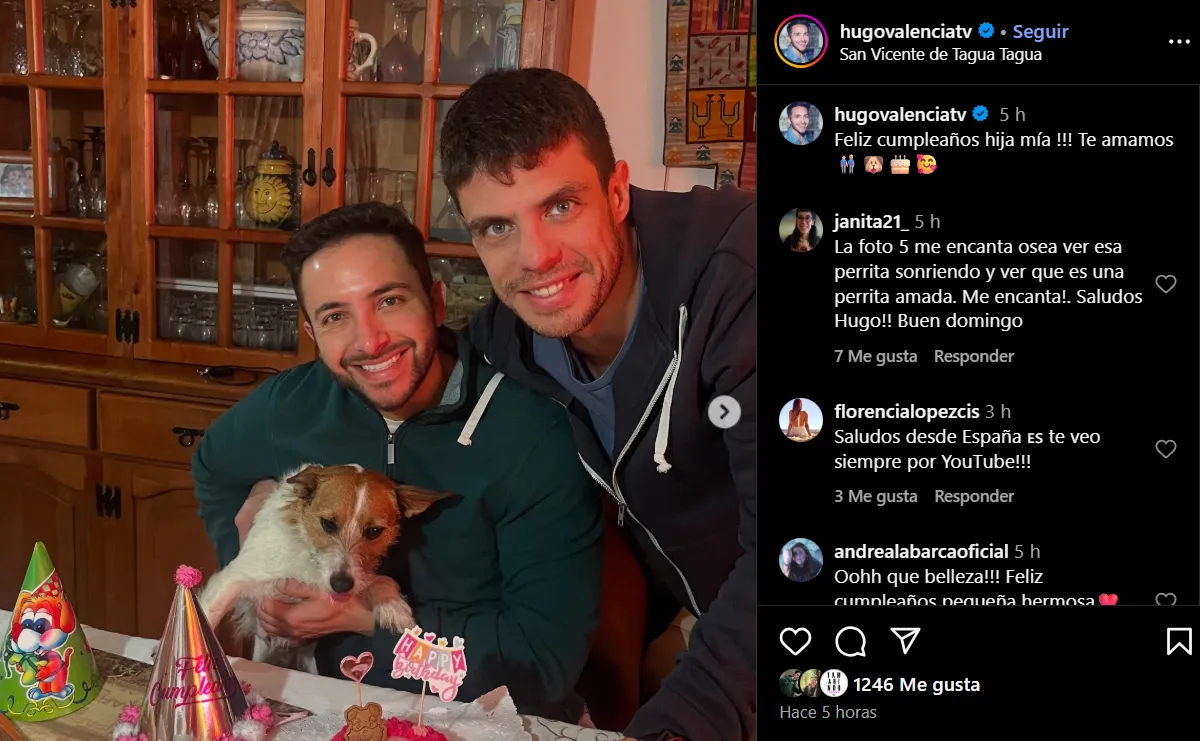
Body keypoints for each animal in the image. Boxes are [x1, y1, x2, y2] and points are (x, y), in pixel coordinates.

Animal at [197, 463, 451, 671]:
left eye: (374, 531)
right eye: (328, 524)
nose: (341, 585)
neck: (311, 561)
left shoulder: (356, 575)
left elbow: (380, 580)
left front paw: (392, 604)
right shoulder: (240, 575)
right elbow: (209, 611)